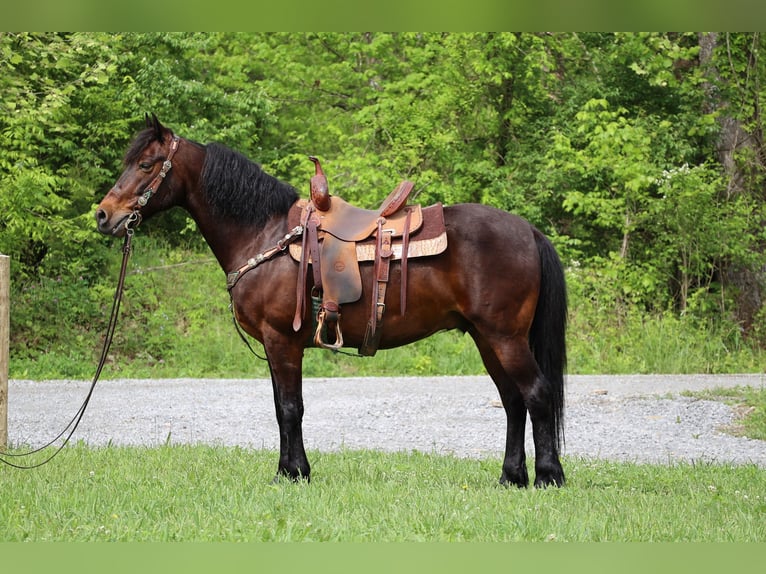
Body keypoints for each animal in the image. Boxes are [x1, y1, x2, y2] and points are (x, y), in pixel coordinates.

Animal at [94, 115, 568, 488]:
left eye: (146, 164)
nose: (103, 215)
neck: (263, 233)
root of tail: (529, 231)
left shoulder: (282, 340)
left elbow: (290, 408)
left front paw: (294, 474)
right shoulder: (275, 346)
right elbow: (281, 407)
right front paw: (287, 470)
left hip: (504, 337)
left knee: (537, 394)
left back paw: (548, 476)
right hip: (487, 339)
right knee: (513, 402)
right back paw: (511, 477)